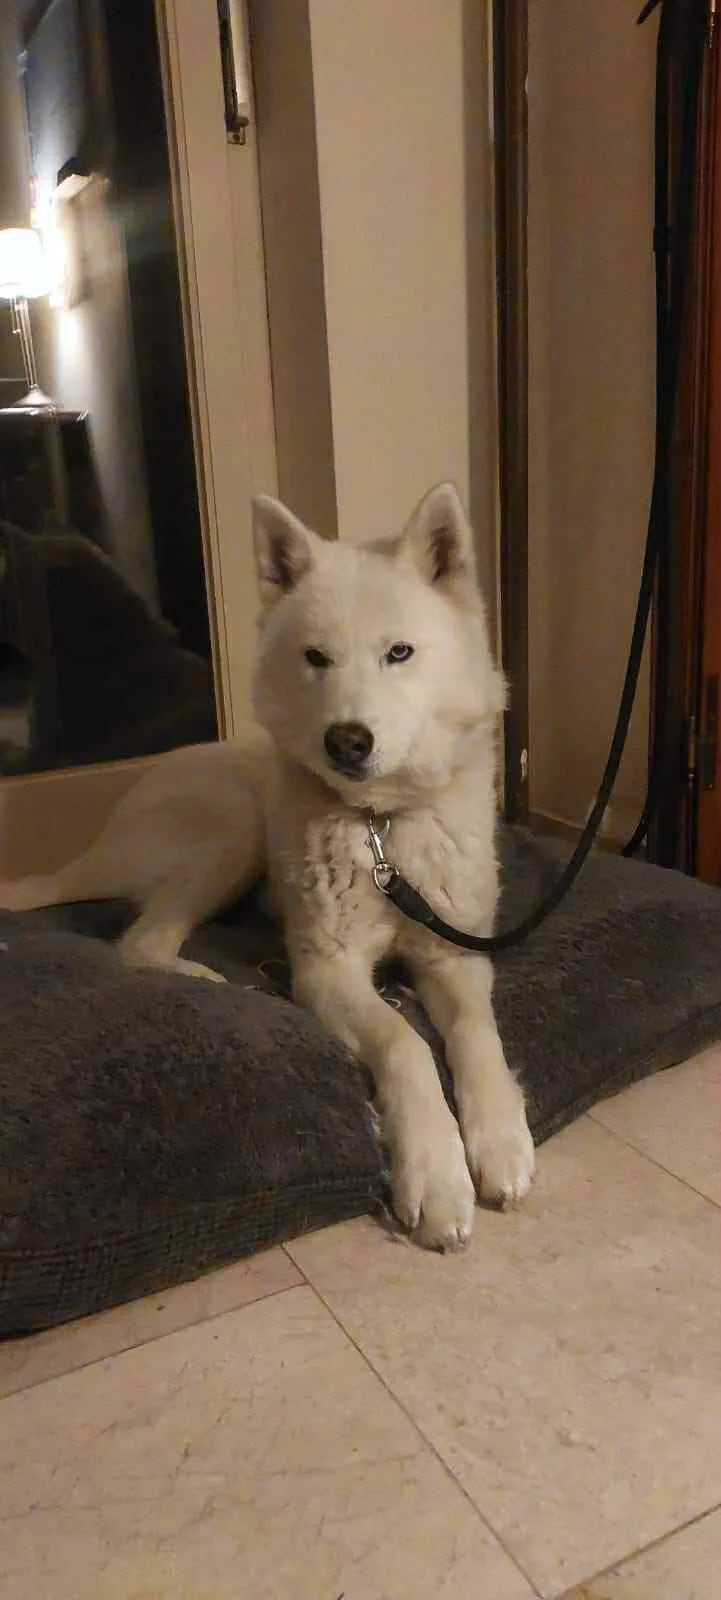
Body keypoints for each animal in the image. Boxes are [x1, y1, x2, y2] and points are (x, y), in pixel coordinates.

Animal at [1, 482, 535, 1250]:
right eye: (316, 658)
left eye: (399, 653)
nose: (346, 741)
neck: (379, 828)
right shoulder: (326, 971)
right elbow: (404, 1043)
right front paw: (435, 1173)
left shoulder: (453, 953)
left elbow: (474, 1032)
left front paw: (498, 1137)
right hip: (234, 831)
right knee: (137, 941)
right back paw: (207, 977)